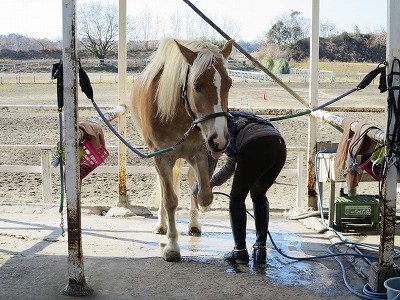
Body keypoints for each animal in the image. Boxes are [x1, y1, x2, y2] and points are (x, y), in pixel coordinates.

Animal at [130, 38, 233, 262]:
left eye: (229, 84)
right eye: (197, 86)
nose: (219, 140)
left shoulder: (199, 153)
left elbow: (204, 194)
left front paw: (202, 207)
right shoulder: (161, 158)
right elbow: (169, 200)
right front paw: (171, 246)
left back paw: (194, 224)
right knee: (164, 189)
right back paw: (162, 225)